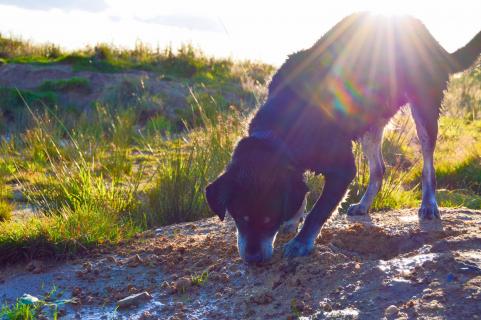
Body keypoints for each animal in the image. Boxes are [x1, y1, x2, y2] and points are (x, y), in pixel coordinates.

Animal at [205, 13, 480, 262]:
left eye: (269, 219)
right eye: (239, 217)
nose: (253, 259)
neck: (281, 126)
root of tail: (431, 40)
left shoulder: (343, 169)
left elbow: (318, 210)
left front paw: (301, 242)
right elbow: (301, 189)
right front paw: (294, 218)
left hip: (424, 109)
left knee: (428, 164)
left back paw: (429, 204)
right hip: (371, 123)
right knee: (379, 168)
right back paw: (365, 204)